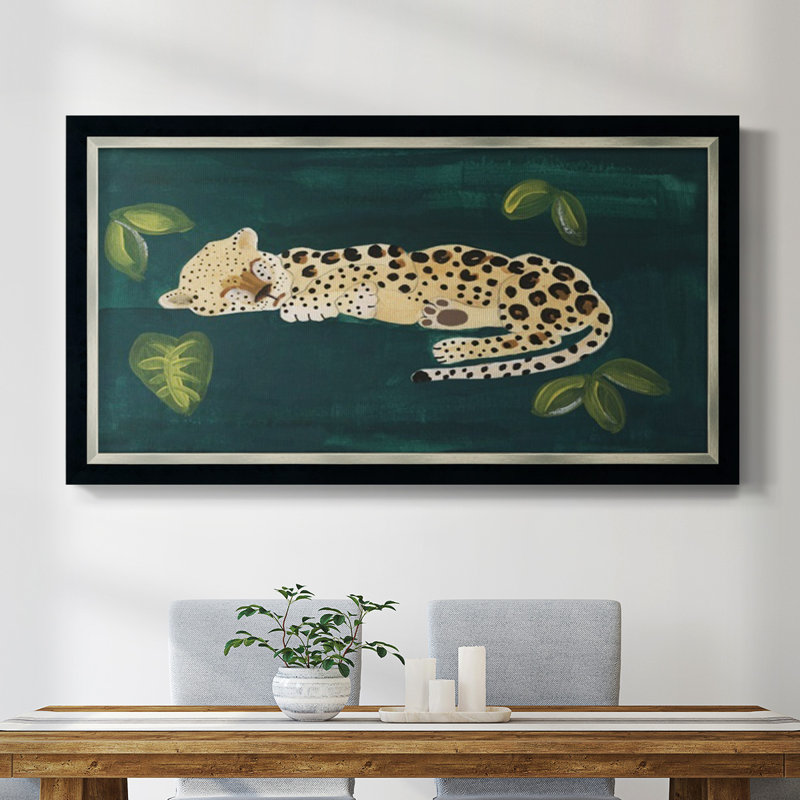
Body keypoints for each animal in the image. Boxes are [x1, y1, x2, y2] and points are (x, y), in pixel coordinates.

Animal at [158, 227, 613, 382]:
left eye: (256, 266)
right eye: (227, 293)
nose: (264, 293)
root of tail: (592, 296)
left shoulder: (385, 256)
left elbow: (345, 277)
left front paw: (322, 298)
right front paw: (314, 306)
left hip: (523, 283)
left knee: (535, 337)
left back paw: (453, 348)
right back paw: (445, 316)